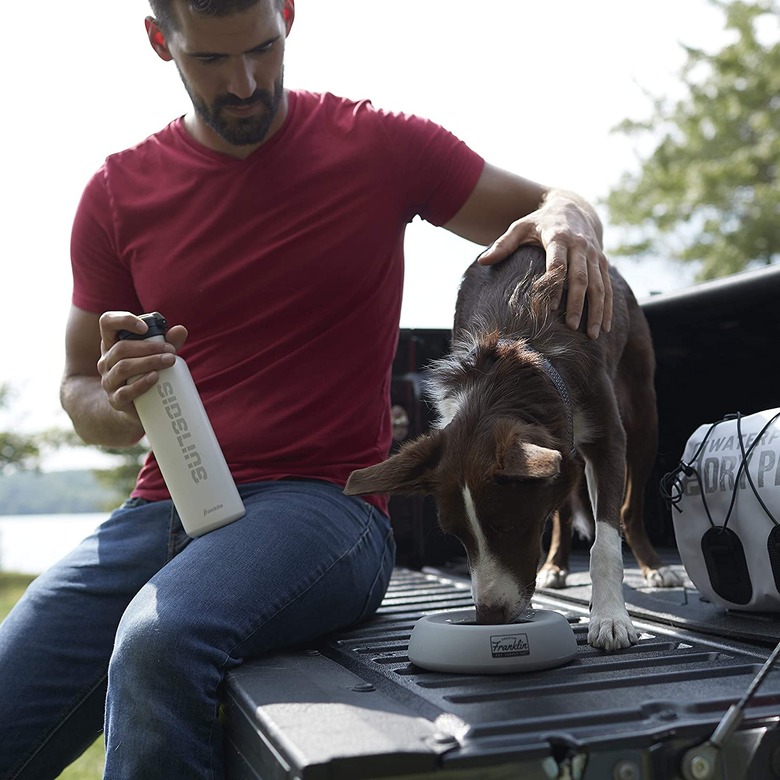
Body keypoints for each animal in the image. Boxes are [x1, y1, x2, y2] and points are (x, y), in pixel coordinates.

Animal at [348, 245, 684, 652]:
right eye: (457, 536)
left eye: (507, 526)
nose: (488, 617)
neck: (514, 354)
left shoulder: (607, 440)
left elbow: (604, 543)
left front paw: (610, 618)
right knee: (563, 509)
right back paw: (555, 564)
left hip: (643, 413)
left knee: (629, 509)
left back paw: (654, 566)